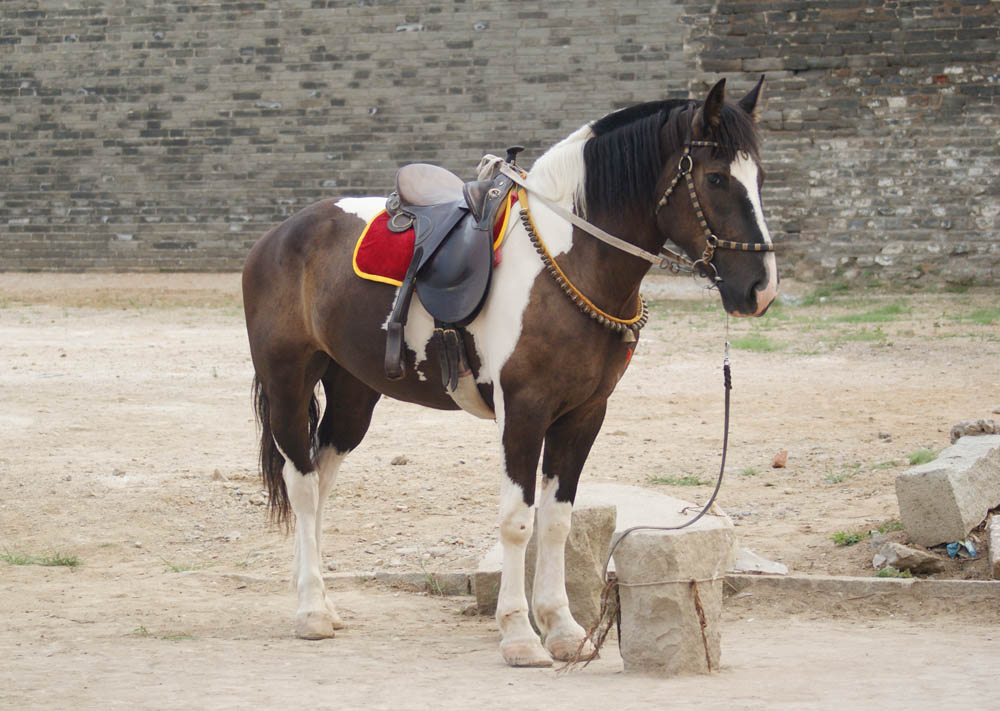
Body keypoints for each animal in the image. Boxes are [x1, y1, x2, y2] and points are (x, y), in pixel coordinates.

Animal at [244, 76, 780, 668]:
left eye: (759, 176)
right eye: (715, 177)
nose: (760, 288)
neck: (568, 263)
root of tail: (279, 235)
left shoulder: (584, 414)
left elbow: (557, 522)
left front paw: (562, 628)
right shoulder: (522, 412)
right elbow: (519, 522)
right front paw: (520, 635)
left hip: (353, 394)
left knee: (322, 477)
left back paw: (324, 602)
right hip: (288, 383)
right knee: (301, 482)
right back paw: (311, 611)